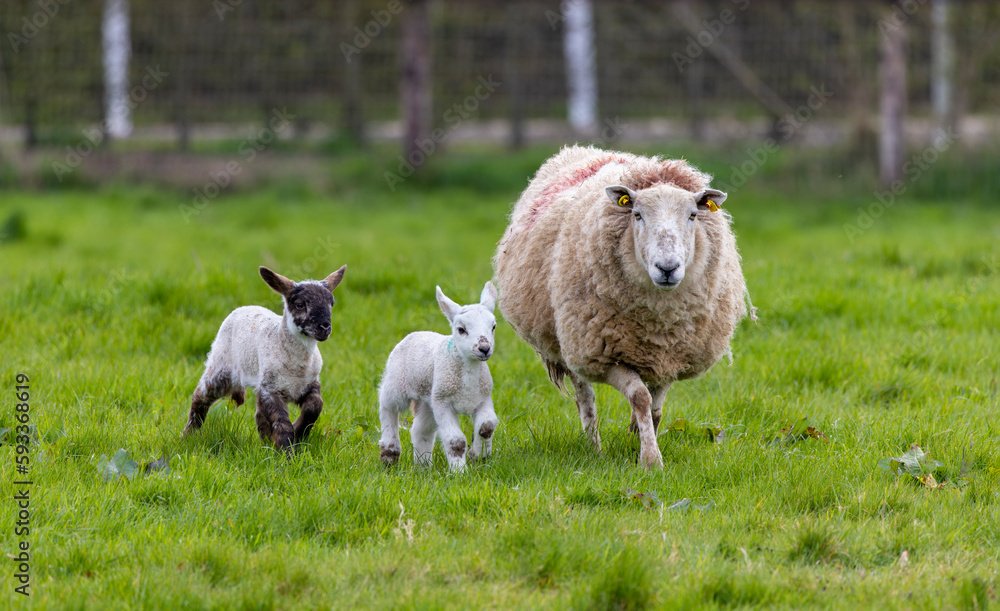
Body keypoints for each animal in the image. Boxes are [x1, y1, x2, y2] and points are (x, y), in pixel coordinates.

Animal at [183, 265, 347, 453]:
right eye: (300, 304)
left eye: (331, 303)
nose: (325, 327)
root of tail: (245, 307)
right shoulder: (270, 390)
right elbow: (281, 422)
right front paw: (287, 452)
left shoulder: (310, 383)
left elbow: (314, 407)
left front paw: (298, 433)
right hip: (221, 366)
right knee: (201, 394)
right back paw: (189, 434)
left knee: (259, 414)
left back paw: (266, 443)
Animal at [377, 282, 499, 472]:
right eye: (461, 329)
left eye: (493, 327)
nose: (484, 348)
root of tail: (417, 332)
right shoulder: (444, 403)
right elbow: (456, 441)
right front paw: (459, 471)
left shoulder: (483, 398)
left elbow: (487, 425)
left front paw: (478, 455)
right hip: (397, 382)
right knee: (386, 405)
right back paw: (390, 454)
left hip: (429, 398)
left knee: (421, 430)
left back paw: (423, 466)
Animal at [493, 145, 754, 470]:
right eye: (637, 214)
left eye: (693, 215)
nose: (667, 268)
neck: (659, 321)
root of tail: (583, 150)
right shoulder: (605, 357)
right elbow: (640, 398)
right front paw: (651, 460)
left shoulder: (671, 357)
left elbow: (655, 409)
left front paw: (637, 442)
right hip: (572, 341)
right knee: (585, 399)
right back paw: (594, 446)